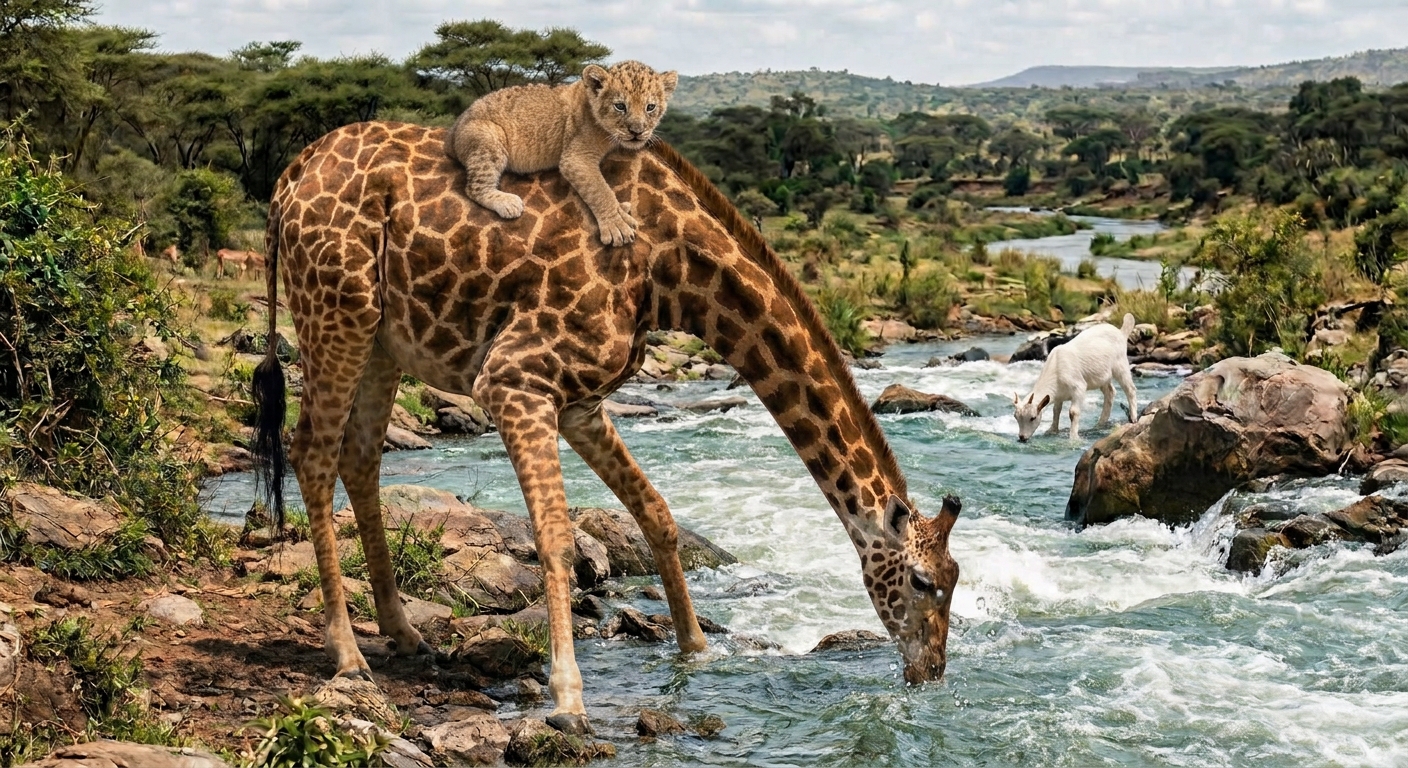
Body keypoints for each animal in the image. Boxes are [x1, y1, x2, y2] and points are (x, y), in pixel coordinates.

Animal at [251, 121, 962, 733]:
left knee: (360, 457)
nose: (931, 672)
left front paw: (696, 649)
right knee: (312, 452)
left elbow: (656, 513)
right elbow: (556, 538)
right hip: (336, 310)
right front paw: (569, 698)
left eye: (954, 581)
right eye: (923, 582)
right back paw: (348, 655)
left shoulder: (581, 403)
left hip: (382, 338)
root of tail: (288, 180)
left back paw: (402, 633)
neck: (674, 271)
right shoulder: (515, 378)